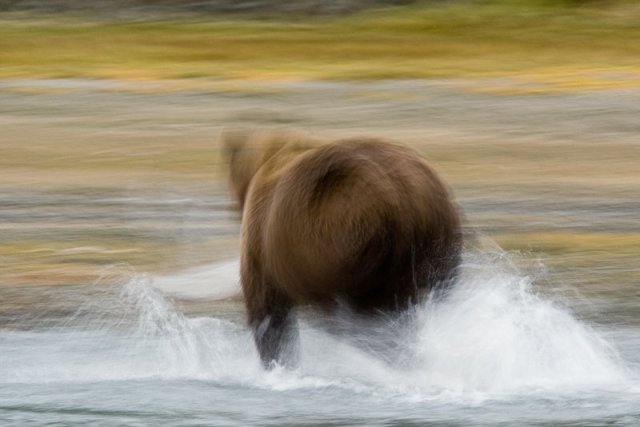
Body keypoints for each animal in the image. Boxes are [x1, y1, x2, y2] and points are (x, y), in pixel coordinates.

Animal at [222, 128, 462, 368]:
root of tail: (407, 201)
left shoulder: (261, 240)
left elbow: (267, 311)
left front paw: (277, 362)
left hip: (354, 244)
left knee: (373, 316)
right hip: (437, 241)